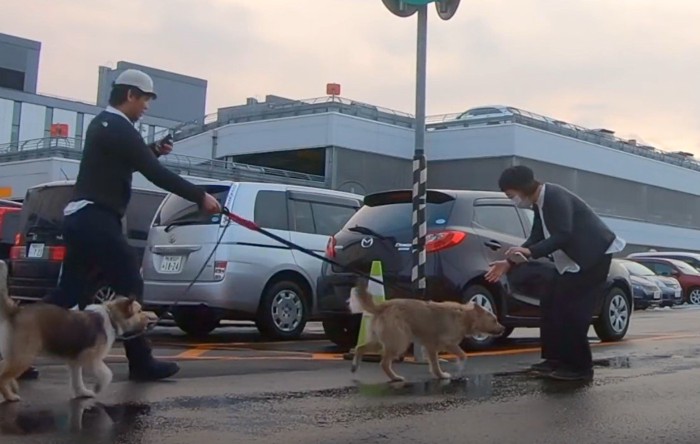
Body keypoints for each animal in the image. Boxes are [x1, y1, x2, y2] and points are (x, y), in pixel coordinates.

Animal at [0, 260, 157, 402]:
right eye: (139, 311)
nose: (150, 319)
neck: (111, 316)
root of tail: (16, 311)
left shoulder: (76, 361)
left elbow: (77, 380)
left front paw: (82, 392)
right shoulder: (92, 358)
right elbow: (107, 374)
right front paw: (98, 387)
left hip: (14, 354)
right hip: (23, 355)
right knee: (2, 376)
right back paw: (10, 396)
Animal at [348, 280, 504, 384]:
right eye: (494, 320)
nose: (503, 329)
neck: (465, 316)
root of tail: (383, 306)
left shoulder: (430, 346)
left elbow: (435, 364)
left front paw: (440, 375)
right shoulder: (447, 343)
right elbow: (462, 355)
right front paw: (457, 370)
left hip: (381, 340)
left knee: (360, 347)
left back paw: (355, 366)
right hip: (399, 342)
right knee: (384, 363)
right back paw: (395, 377)